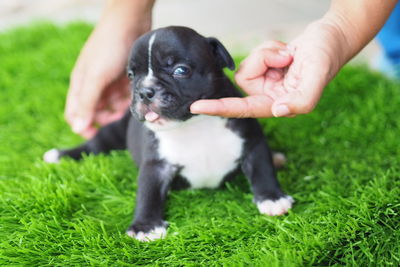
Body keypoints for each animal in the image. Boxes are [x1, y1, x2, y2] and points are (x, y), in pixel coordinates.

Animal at [43, 26, 294, 243]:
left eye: (180, 70)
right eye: (131, 75)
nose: (144, 91)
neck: (194, 124)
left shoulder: (252, 142)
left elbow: (262, 168)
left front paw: (272, 198)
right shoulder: (156, 165)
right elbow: (148, 193)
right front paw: (145, 227)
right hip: (114, 131)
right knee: (94, 146)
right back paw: (59, 155)